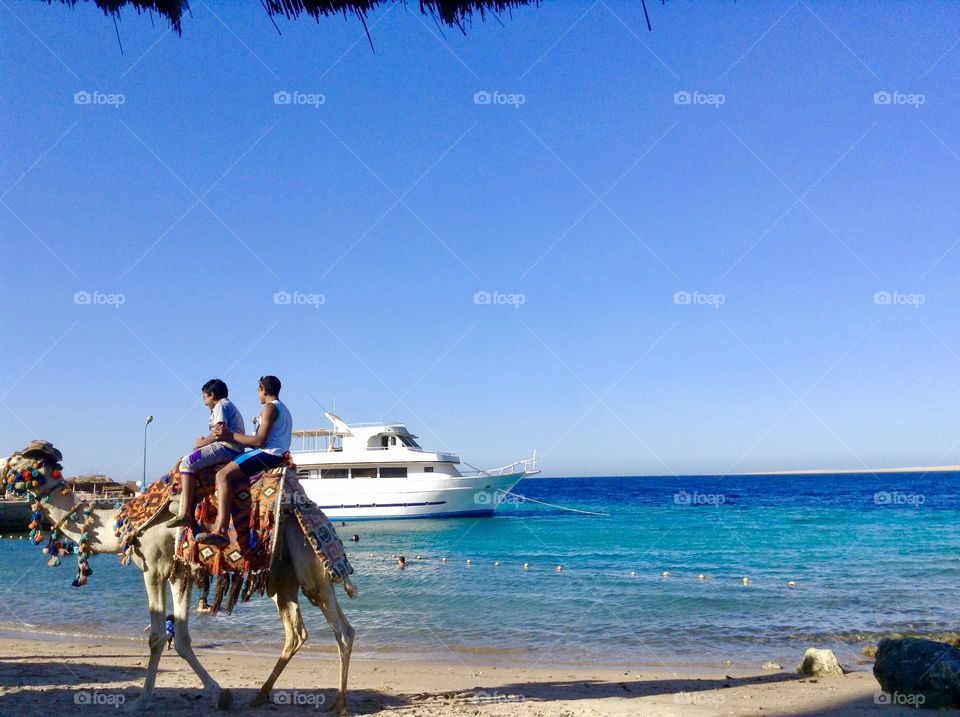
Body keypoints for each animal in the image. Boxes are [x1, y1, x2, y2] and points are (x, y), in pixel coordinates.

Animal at [3, 450, 356, 712]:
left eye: (18, 459)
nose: (3, 469)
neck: (123, 524)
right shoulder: (180, 571)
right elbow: (182, 637)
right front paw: (220, 694)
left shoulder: (155, 568)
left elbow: (158, 636)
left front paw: (141, 701)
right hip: (282, 578)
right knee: (296, 632)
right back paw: (260, 695)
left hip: (310, 566)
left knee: (343, 630)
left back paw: (339, 704)